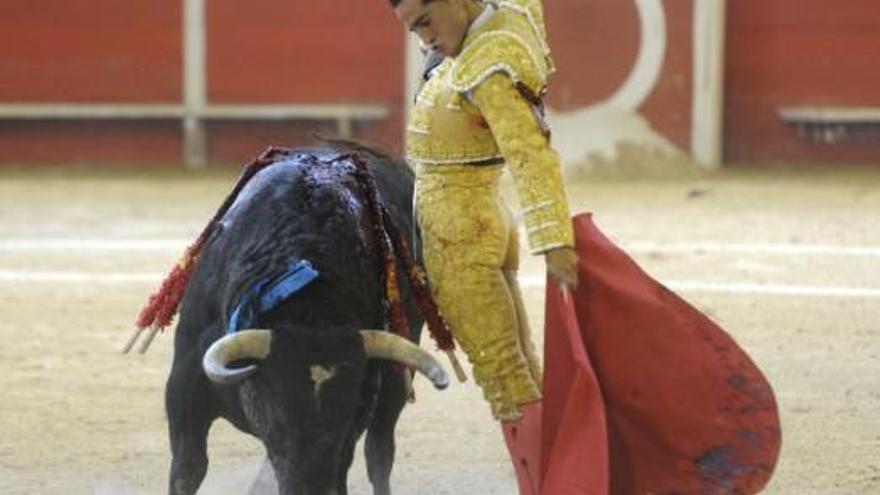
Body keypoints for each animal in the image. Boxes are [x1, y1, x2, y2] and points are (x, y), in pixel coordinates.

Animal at [167, 148, 446, 495]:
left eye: (346, 414)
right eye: (277, 416)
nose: (310, 485)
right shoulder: (183, 392)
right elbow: (188, 469)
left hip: (397, 378)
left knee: (380, 452)